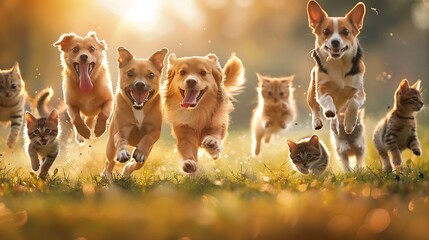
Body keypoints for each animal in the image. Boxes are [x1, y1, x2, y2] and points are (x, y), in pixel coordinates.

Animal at [100, 47, 167, 178]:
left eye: (151, 75)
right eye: (130, 73)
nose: (140, 84)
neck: (139, 109)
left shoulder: (155, 131)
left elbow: (148, 138)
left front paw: (139, 152)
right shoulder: (122, 130)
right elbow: (120, 140)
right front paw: (122, 152)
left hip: (147, 154)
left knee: (137, 164)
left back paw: (127, 170)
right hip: (110, 146)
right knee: (110, 161)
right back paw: (107, 175)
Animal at [306, 0, 366, 135]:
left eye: (346, 32)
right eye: (326, 31)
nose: (335, 42)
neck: (338, 62)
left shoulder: (359, 90)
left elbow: (353, 102)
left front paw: (349, 123)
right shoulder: (321, 88)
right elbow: (327, 98)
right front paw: (329, 110)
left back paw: (335, 126)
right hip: (312, 88)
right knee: (315, 107)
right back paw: (317, 121)